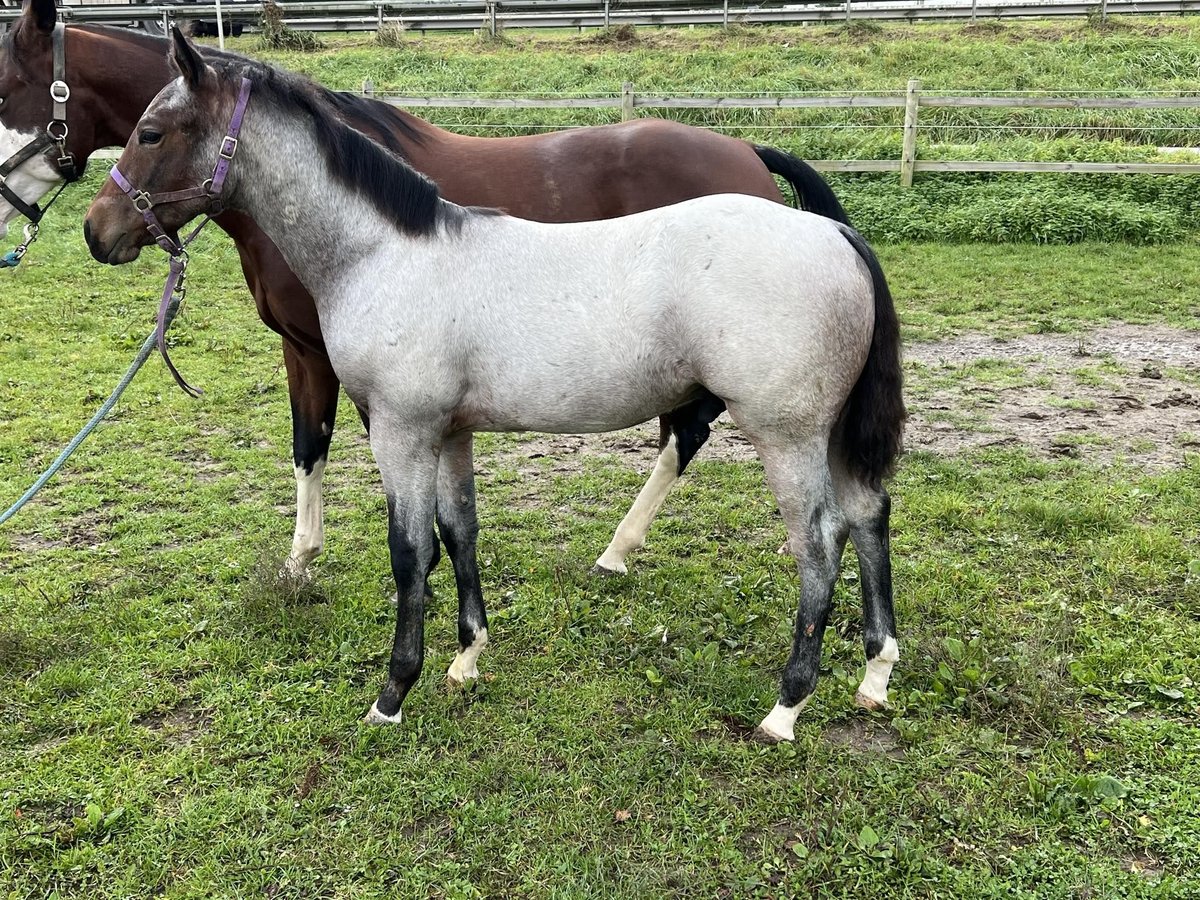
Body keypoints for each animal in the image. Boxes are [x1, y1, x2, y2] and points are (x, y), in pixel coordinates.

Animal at [0, 0, 854, 585]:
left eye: (8, 91)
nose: (97, 232)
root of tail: (747, 149)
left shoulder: (368, 373)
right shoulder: (305, 352)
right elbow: (307, 446)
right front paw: (300, 561)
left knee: (689, 432)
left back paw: (618, 547)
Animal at [84, 33, 902, 739]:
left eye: (151, 133)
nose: (99, 230)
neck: (384, 252)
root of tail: (836, 236)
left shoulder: (400, 430)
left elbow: (410, 551)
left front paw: (393, 694)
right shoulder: (449, 432)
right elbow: (460, 533)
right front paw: (467, 658)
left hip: (786, 434)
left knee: (819, 542)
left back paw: (786, 706)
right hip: (828, 435)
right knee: (868, 514)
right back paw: (875, 673)